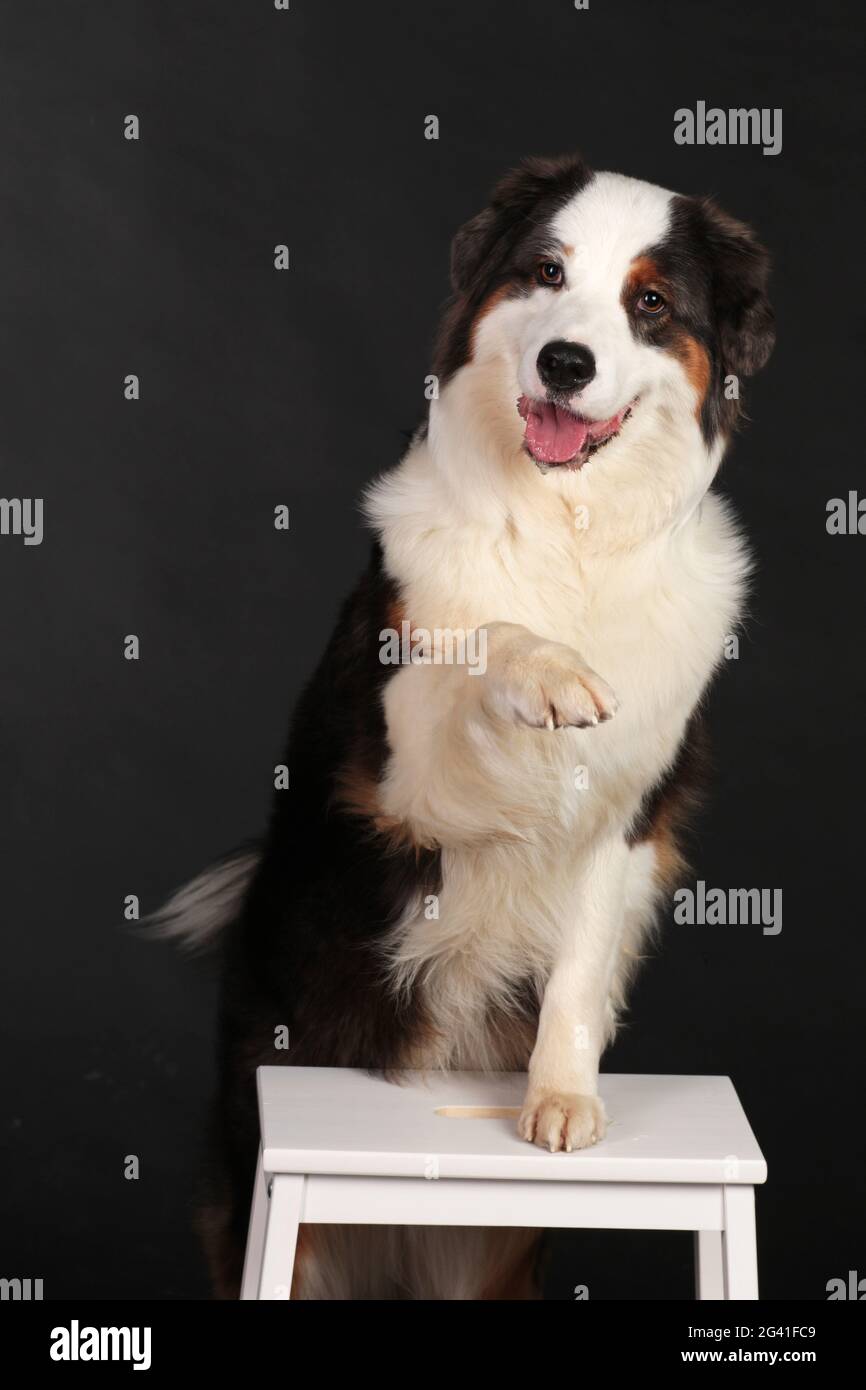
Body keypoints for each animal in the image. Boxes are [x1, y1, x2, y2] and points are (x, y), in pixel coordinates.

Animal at [152, 154, 778, 1301]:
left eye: (650, 303)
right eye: (546, 271)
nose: (567, 362)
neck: (569, 533)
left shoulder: (632, 812)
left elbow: (579, 965)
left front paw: (562, 1100)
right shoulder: (398, 783)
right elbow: (485, 634)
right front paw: (549, 673)